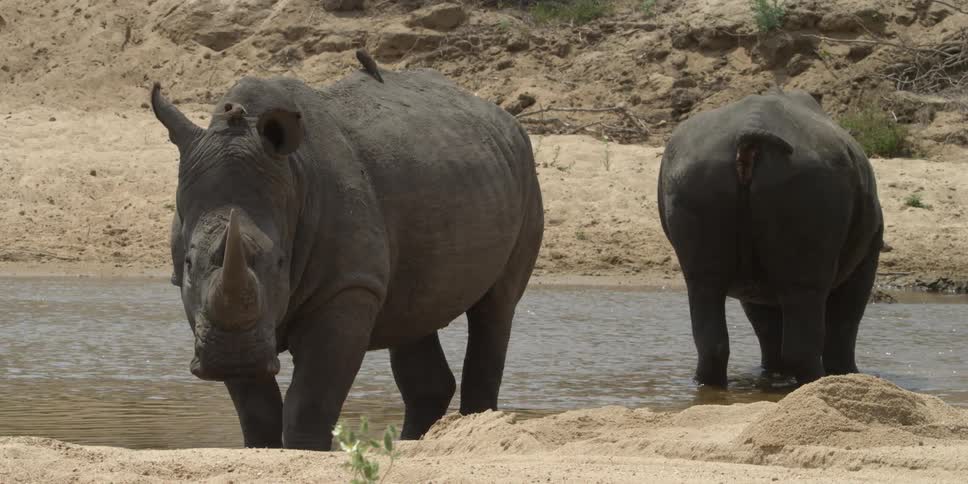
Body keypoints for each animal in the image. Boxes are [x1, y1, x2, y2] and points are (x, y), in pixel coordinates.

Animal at [151, 52, 543, 450]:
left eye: (280, 262)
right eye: (188, 263)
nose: (233, 357)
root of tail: (506, 119)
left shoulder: (348, 286)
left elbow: (311, 396)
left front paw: (305, 449)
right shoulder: (204, 306)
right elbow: (255, 405)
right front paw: (261, 446)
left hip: (526, 173)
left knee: (496, 306)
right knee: (414, 313)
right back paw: (408, 444)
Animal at [657, 89, 883, 386]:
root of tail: (749, 132)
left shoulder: (754, 286)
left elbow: (766, 324)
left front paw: (774, 373)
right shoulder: (868, 256)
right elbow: (846, 320)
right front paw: (848, 374)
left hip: (696, 177)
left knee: (705, 296)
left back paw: (711, 384)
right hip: (808, 182)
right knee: (809, 308)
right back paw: (814, 381)